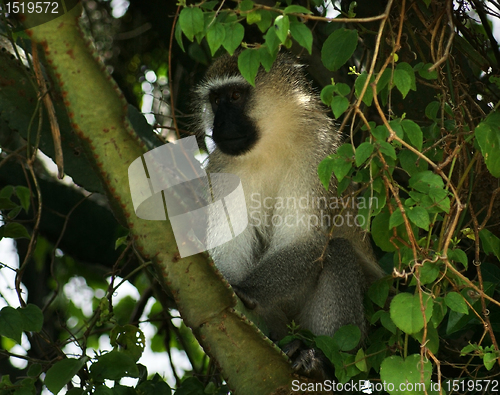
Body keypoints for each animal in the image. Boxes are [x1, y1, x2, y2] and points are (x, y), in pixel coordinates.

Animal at [193, 51, 380, 374]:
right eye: (216, 100)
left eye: (235, 95)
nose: (220, 124)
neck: (269, 143)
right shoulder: (223, 166)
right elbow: (229, 249)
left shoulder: (318, 154)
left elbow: (304, 238)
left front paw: (245, 290)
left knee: (338, 251)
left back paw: (318, 361)